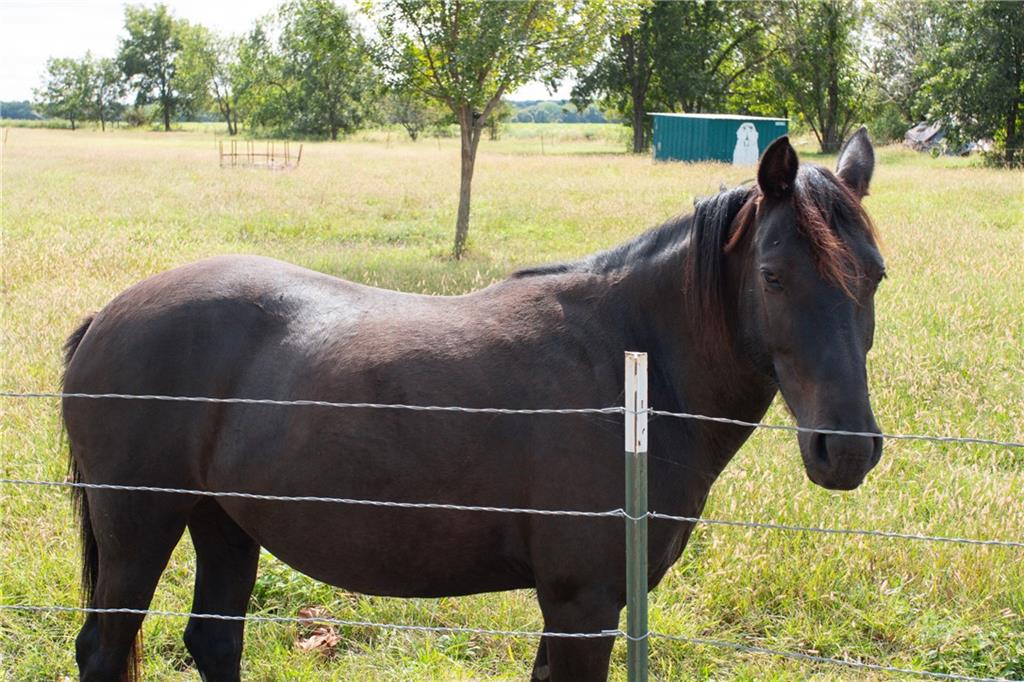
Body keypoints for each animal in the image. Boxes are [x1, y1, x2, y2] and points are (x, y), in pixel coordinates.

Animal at [62, 130, 884, 681]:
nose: (846, 448)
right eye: (774, 275)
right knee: (103, 648)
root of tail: (105, 316)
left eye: (875, 273)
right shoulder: (583, 603)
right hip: (139, 529)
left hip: (224, 524)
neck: (632, 367)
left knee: (213, 639)